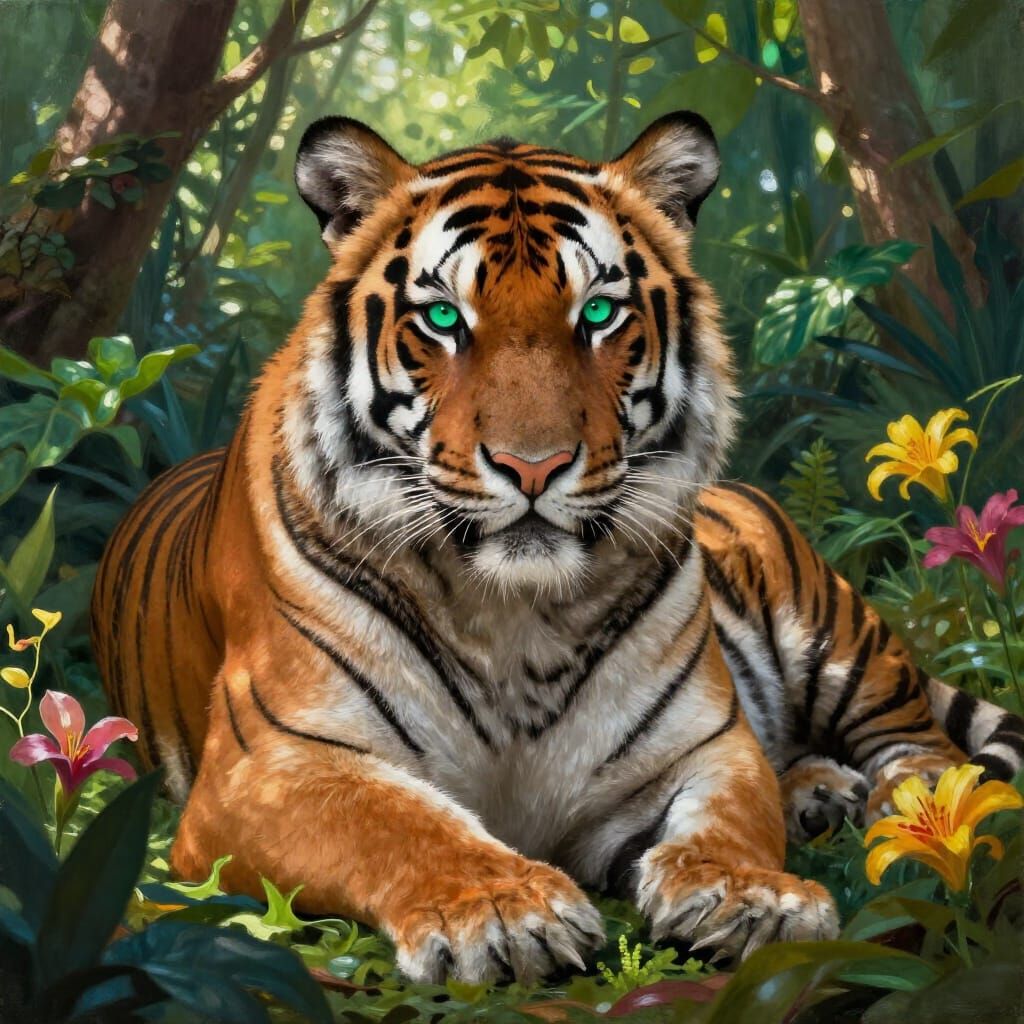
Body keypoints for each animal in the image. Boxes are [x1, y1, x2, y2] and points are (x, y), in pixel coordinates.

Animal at [91, 111, 1024, 984]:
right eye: (443, 318)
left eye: (599, 313)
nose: (532, 465)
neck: (513, 617)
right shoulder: (266, 768)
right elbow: (397, 821)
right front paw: (505, 912)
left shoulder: (701, 745)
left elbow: (730, 817)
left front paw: (749, 895)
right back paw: (821, 795)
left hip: (832, 633)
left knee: (925, 744)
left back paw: (916, 813)